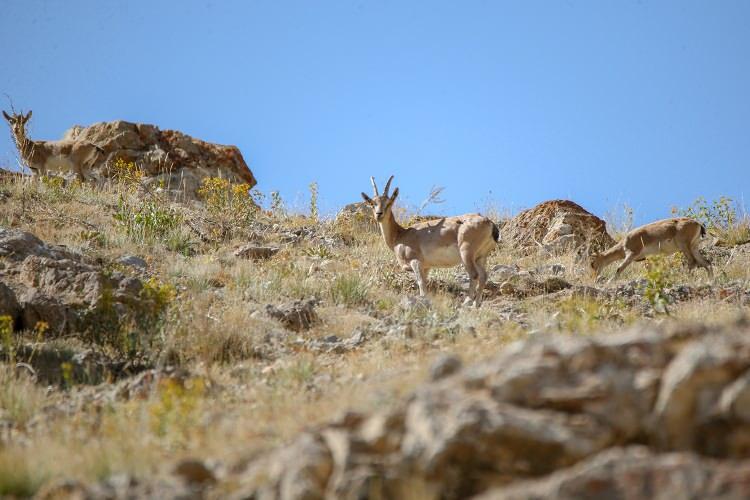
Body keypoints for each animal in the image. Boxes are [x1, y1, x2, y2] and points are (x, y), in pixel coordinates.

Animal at [362, 176, 500, 308]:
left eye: (389, 202)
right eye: (372, 203)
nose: (379, 214)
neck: (400, 235)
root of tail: (489, 223)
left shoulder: (415, 262)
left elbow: (421, 284)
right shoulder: (426, 267)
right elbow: (425, 284)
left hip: (466, 253)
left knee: (474, 275)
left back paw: (466, 302)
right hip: (480, 257)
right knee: (483, 276)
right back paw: (476, 304)